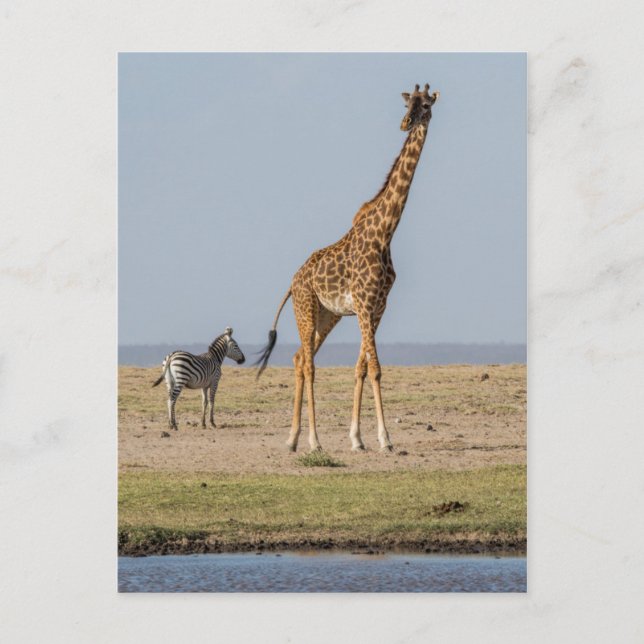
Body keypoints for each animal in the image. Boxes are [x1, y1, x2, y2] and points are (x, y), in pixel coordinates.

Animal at [256, 83, 439, 452]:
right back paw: (313, 440)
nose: (405, 123)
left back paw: (292, 439)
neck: (386, 232)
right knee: (309, 363)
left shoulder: (377, 307)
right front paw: (385, 439)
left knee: (298, 358)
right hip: (306, 308)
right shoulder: (365, 305)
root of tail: (292, 281)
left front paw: (357, 438)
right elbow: (377, 368)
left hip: (329, 315)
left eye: (426, 105)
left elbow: (362, 368)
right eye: (407, 105)